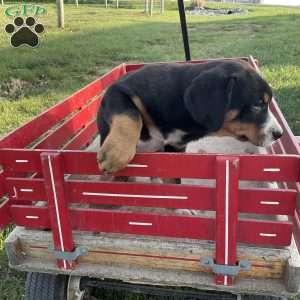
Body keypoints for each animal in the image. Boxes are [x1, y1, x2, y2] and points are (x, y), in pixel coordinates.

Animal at [96, 60, 284, 173]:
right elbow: (130, 114)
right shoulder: (117, 90)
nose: (279, 134)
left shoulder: (174, 149)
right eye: (257, 104)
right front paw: (116, 153)